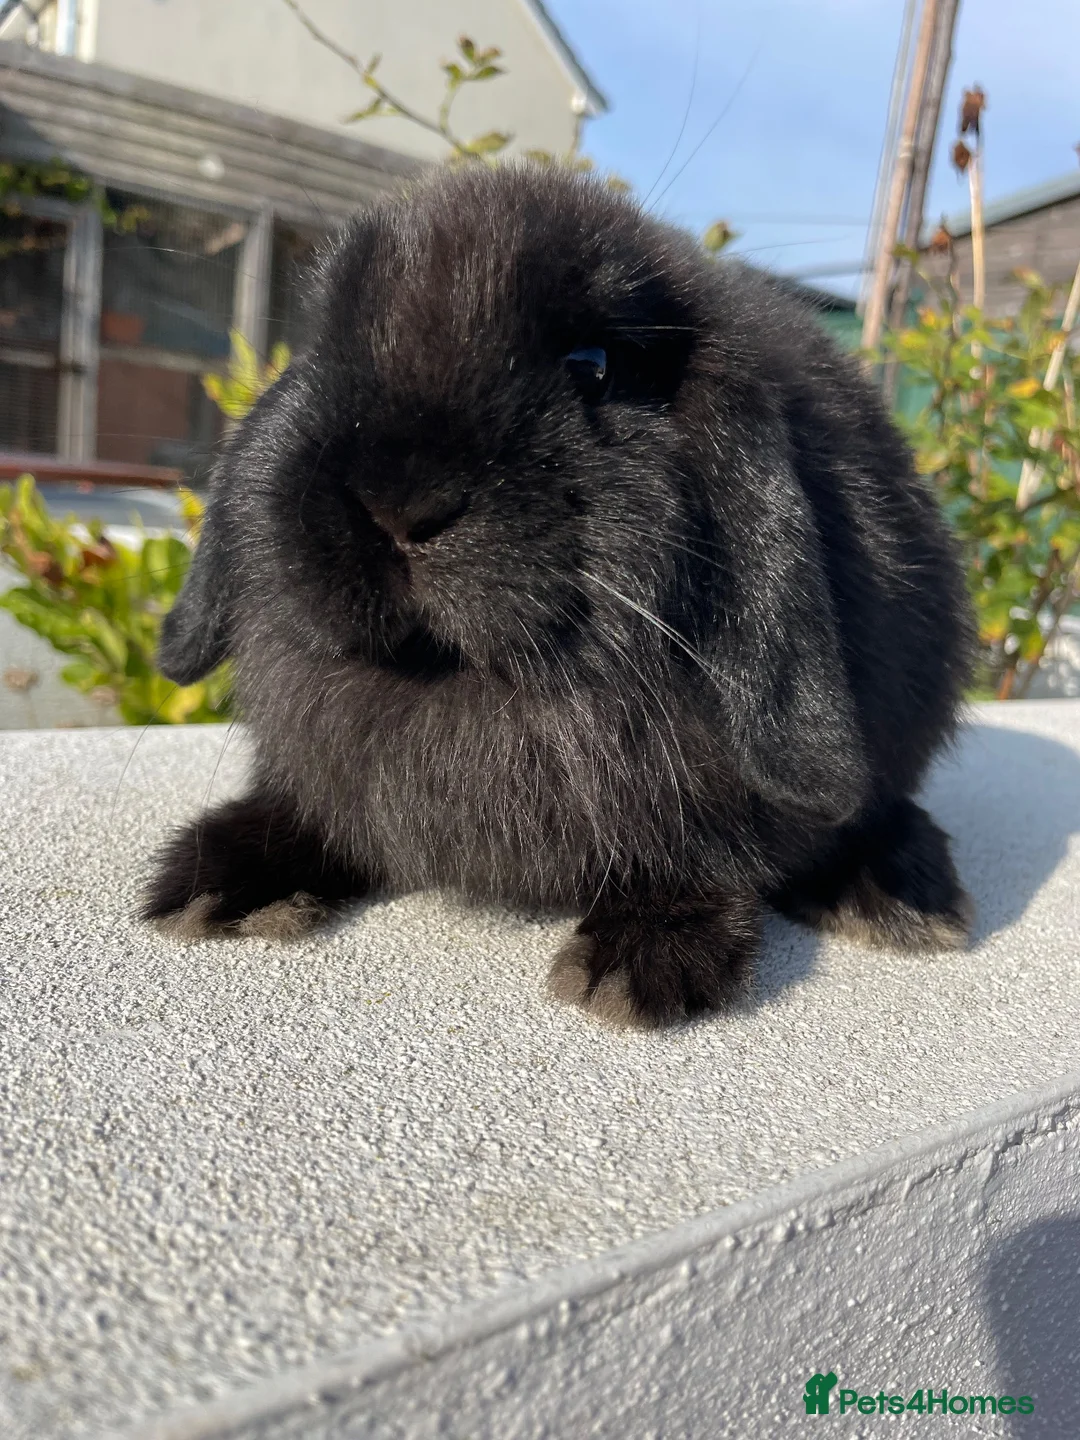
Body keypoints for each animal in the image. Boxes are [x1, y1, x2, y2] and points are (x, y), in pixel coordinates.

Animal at [143, 162, 975, 1029]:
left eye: (594, 366)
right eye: (325, 343)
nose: (397, 501)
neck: (458, 678)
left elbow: (709, 858)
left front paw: (638, 966)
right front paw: (216, 880)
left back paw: (902, 897)